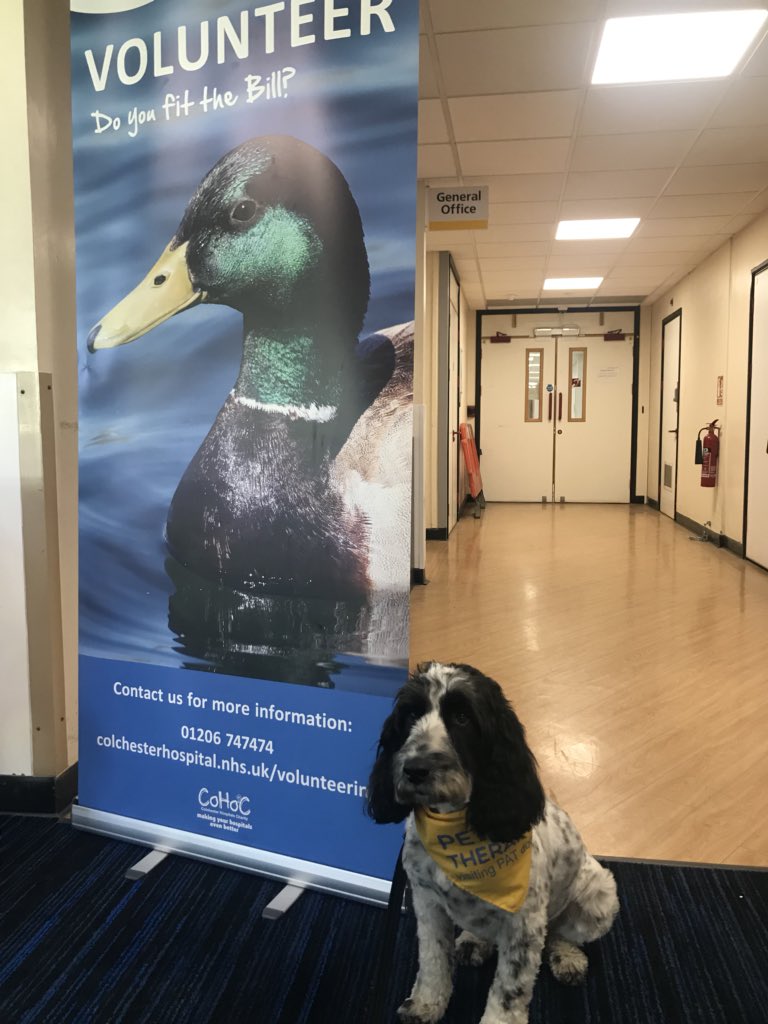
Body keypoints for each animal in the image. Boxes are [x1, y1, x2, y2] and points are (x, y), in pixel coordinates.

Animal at [366, 663, 618, 1024]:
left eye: (462, 717)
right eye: (411, 714)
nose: (414, 769)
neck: (454, 824)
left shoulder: (524, 925)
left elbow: (509, 991)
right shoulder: (427, 903)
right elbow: (433, 960)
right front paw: (426, 1004)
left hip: (599, 896)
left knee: (562, 933)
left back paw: (567, 957)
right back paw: (474, 940)